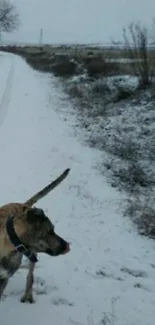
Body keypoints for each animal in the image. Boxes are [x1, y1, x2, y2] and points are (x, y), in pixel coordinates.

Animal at [0, 168, 70, 302]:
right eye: (51, 230)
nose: (67, 245)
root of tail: (24, 205)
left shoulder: (4, 278)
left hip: (33, 255)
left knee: (30, 276)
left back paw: (28, 295)